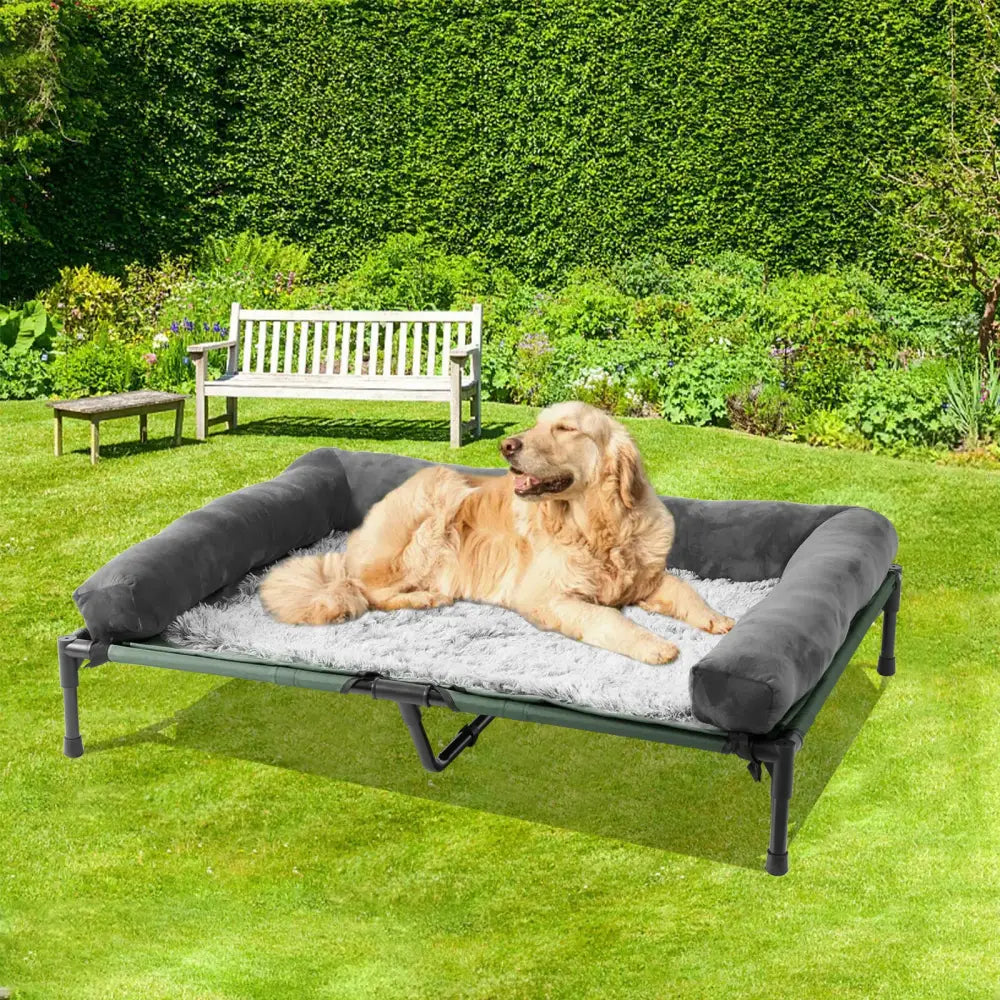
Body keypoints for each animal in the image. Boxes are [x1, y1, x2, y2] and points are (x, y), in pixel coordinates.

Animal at [260, 398, 736, 664]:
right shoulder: (547, 597)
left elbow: (684, 589)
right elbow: (607, 618)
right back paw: (422, 597)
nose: (507, 446)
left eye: (565, 428)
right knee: (366, 590)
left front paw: (717, 618)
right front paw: (654, 645)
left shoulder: (645, 579)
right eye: (538, 424)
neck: (597, 530)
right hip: (439, 489)